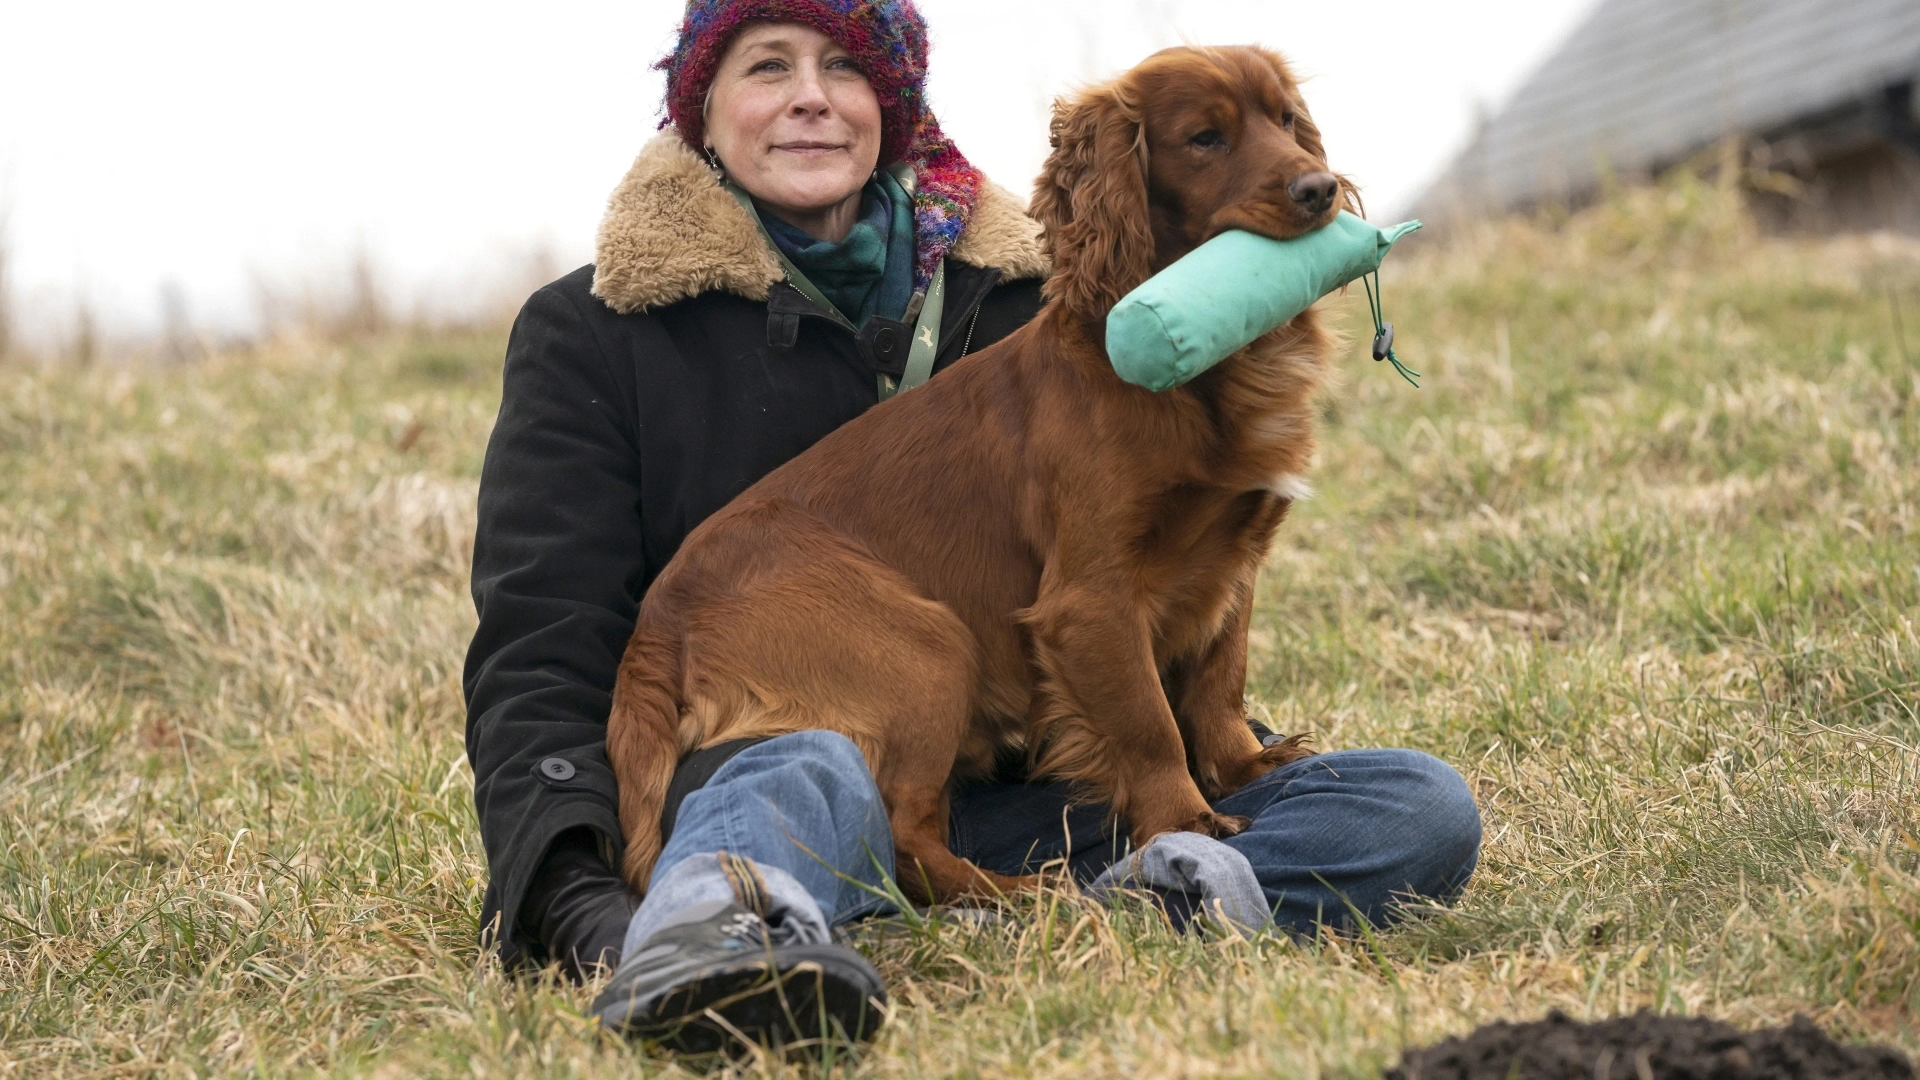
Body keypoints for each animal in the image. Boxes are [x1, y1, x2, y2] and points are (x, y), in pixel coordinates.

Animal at [610, 44, 1351, 899]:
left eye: (1287, 122)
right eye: (1204, 139)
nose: (1319, 188)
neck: (1202, 380)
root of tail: (658, 626)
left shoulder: (1233, 559)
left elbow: (1218, 681)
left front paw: (1247, 767)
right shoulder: (1089, 602)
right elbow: (1148, 723)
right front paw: (1188, 821)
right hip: (927, 648)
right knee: (902, 836)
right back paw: (1023, 894)